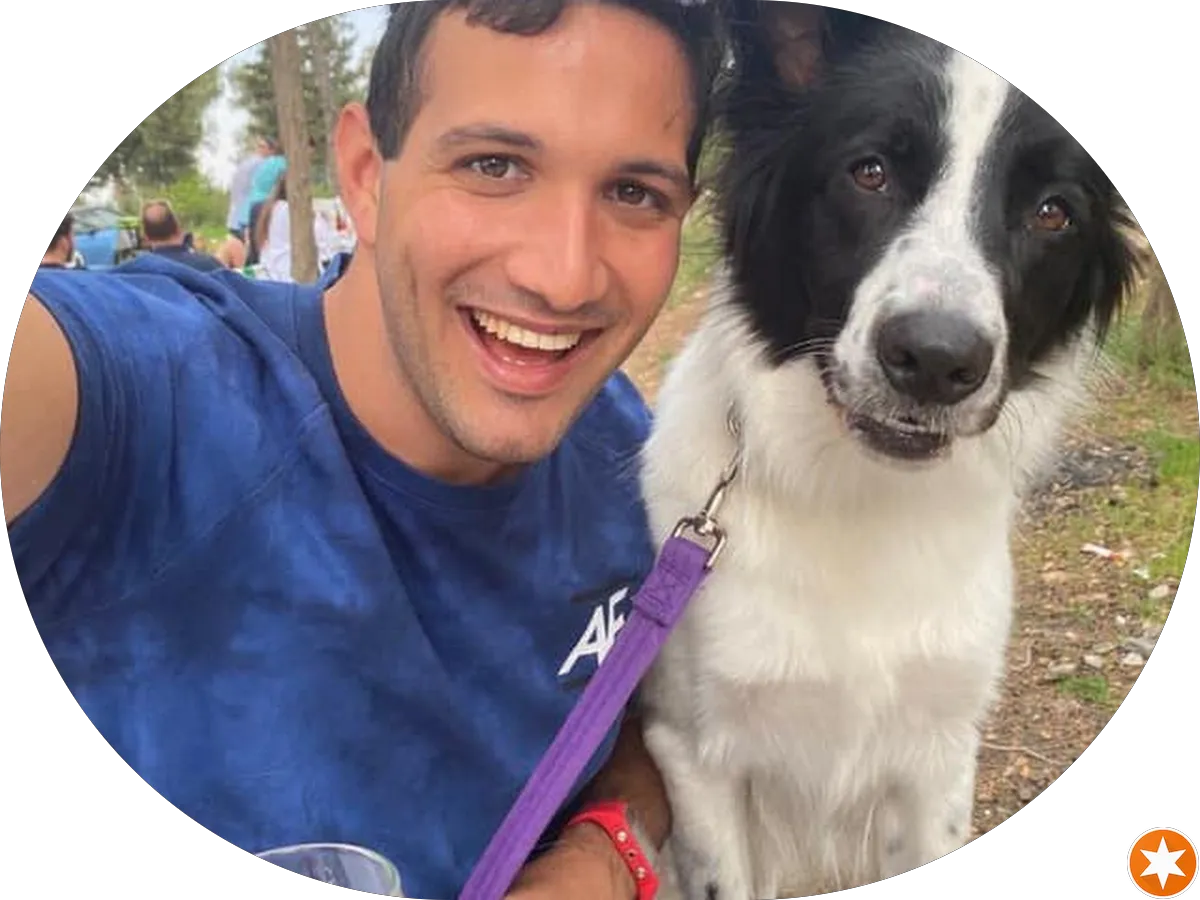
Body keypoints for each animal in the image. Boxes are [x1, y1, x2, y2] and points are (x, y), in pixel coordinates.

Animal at [637, 3, 1142, 898]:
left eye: (1053, 213)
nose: (936, 360)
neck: (854, 496)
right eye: (868, 172)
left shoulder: (937, 756)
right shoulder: (695, 757)